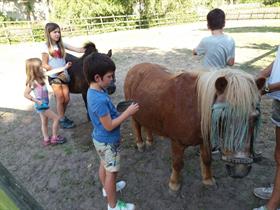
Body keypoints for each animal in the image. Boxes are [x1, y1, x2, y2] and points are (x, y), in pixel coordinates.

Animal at [124, 62, 264, 192]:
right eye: (223, 116)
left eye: (256, 117)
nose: (240, 170)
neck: (196, 109)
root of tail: (136, 67)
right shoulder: (177, 142)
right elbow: (177, 163)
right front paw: (174, 184)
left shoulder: (205, 140)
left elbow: (207, 159)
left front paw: (208, 180)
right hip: (133, 113)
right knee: (136, 126)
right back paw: (141, 144)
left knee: (147, 126)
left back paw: (149, 141)